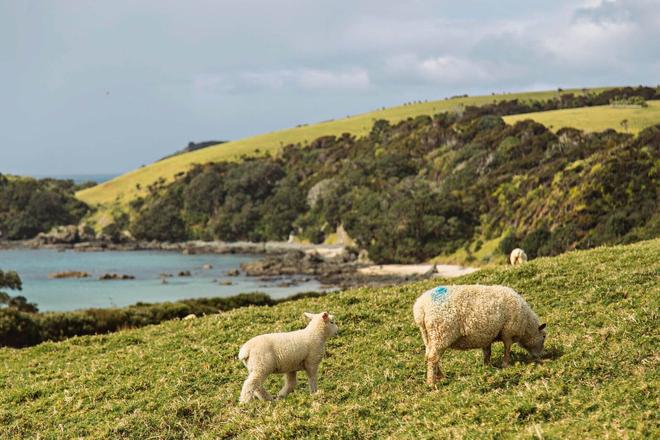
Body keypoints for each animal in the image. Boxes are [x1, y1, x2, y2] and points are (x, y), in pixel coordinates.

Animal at [412, 286, 548, 384]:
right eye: (544, 337)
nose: (540, 356)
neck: (527, 325)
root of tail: (421, 307)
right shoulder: (508, 331)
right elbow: (507, 348)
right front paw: (505, 364)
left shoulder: (487, 336)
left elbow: (487, 352)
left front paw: (487, 366)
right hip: (440, 332)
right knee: (433, 357)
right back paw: (431, 382)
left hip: (428, 336)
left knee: (430, 356)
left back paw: (440, 376)